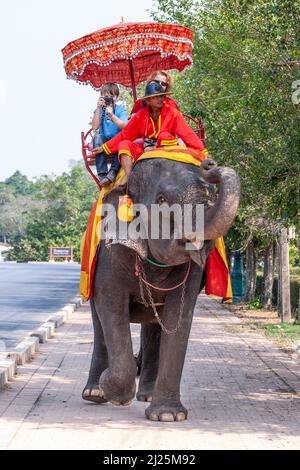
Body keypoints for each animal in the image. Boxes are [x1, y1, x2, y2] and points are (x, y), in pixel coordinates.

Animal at [81, 158, 239, 422]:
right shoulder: (109, 255)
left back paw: (147, 396)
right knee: (99, 321)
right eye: (162, 200)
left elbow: (180, 316)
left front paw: (167, 416)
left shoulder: (193, 272)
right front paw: (112, 390)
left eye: (211, 195)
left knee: (153, 328)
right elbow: (111, 306)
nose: (210, 164)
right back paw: (94, 393)